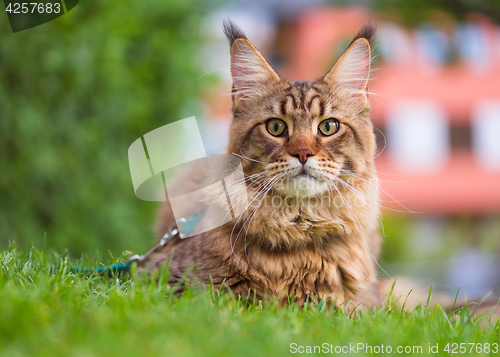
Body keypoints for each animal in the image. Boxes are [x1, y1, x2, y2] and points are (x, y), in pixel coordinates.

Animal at [148, 20, 382, 308]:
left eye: (328, 127)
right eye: (276, 127)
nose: (303, 153)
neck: (297, 225)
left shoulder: (361, 304)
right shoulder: (162, 279)